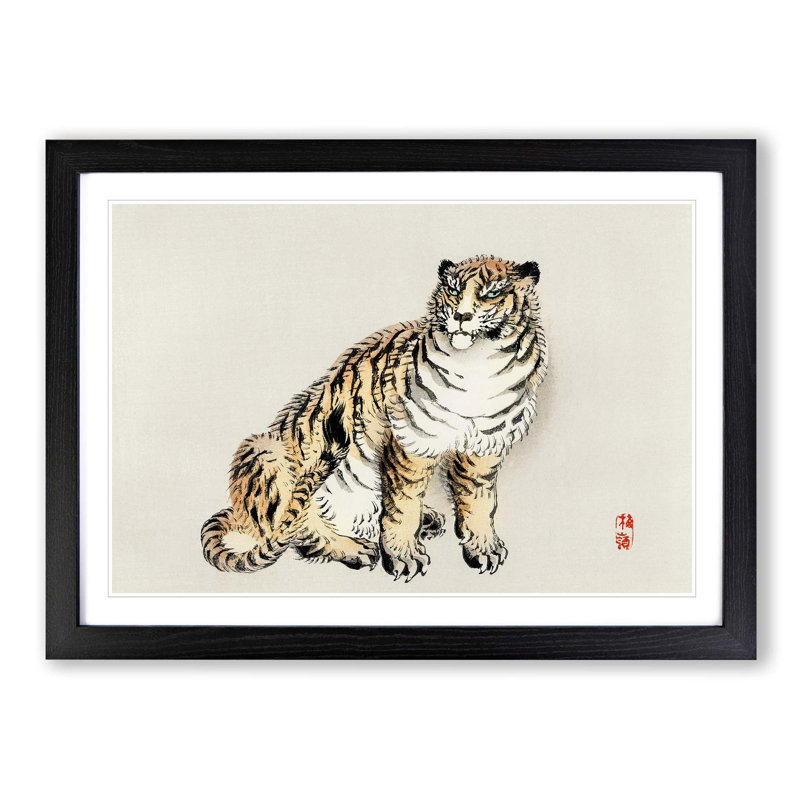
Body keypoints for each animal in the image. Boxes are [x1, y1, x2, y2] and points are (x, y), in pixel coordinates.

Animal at [201, 254, 548, 582]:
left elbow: (479, 501)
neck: (479, 365)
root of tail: (239, 514)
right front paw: (404, 557)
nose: (462, 317)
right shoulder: (410, 443)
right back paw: (355, 548)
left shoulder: (484, 447)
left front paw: (484, 548)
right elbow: (403, 505)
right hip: (263, 449)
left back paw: (427, 519)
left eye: (493, 293)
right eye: (453, 290)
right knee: (297, 529)